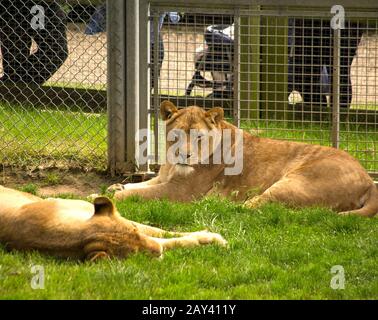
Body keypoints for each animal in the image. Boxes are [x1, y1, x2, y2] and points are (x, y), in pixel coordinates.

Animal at [110, 102, 378, 218]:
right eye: (176, 136)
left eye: (198, 137)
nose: (184, 155)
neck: (171, 165)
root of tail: (368, 180)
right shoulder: (164, 177)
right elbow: (140, 184)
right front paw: (115, 187)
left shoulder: (181, 191)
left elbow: (142, 193)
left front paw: (115, 196)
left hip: (293, 182)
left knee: (255, 207)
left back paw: (221, 203)